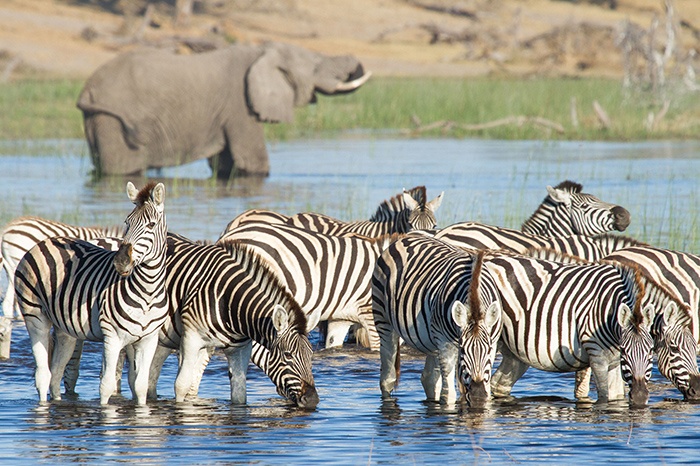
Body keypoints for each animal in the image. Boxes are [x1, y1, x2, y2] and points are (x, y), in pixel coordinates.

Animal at [14, 182, 170, 404]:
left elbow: (141, 386)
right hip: (34, 316)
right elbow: (106, 385)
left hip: (65, 329)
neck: (147, 291)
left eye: (151, 225)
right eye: (127, 223)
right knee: (43, 375)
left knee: (56, 373)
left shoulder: (148, 339)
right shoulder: (112, 336)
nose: (121, 261)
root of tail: (44, 242)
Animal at [77, 41, 372, 178]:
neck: (260, 51)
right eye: (315, 66)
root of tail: (87, 90)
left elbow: (226, 166)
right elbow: (253, 163)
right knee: (123, 170)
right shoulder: (239, 104)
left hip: (98, 118)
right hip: (111, 120)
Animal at [372, 233, 504, 404]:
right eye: (462, 350)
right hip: (384, 320)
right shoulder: (445, 343)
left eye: (487, 349)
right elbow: (448, 395)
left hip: (431, 339)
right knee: (387, 378)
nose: (477, 393)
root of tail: (406, 237)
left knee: (429, 380)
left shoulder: (493, 342)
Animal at [456, 249, 688, 406]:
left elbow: (615, 395)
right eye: (674, 348)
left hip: (515, 350)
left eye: (650, 352)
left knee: (498, 384)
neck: (608, 311)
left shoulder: (612, 361)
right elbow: (605, 396)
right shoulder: (597, 355)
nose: (640, 398)